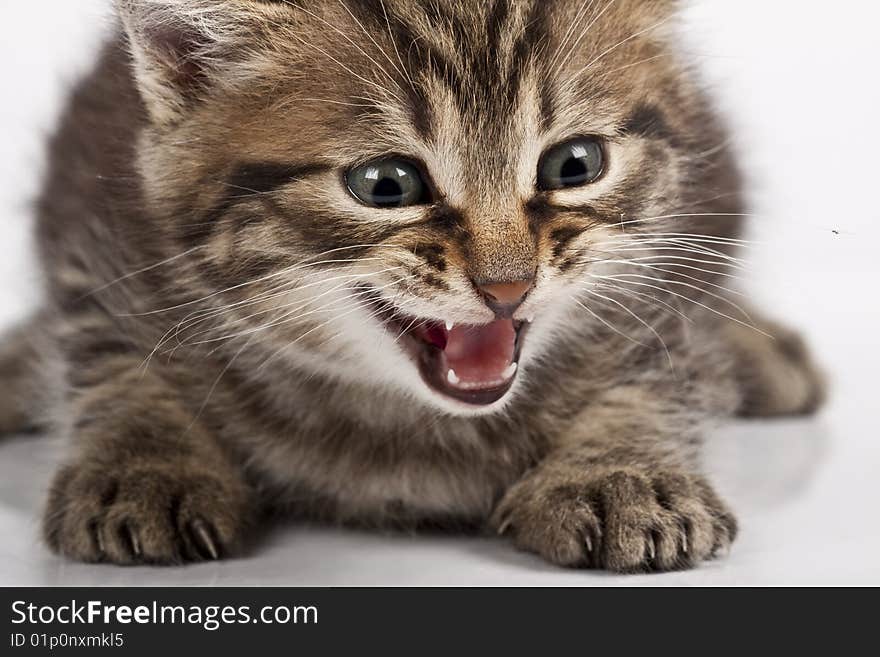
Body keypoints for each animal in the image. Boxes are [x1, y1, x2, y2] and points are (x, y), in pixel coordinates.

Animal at [0, 0, 824, 572]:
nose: (508, 286)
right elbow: (111, 357)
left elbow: (662, 358)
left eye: (576, 165)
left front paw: (620, 472)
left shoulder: (682, 248)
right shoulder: (93, 232)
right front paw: (144, 463)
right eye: (385, 184)